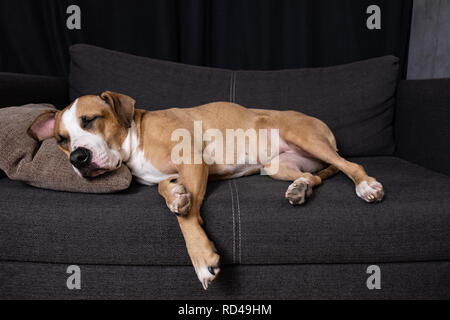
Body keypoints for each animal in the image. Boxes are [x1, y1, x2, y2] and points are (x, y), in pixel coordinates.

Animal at [28, 90, 384, 290]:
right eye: (61, 139)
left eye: (90, 120)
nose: (77, 157)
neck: (133, 137)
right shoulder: (172, 174)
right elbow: (165, 189)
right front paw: (176, 196)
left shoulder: (192, 161)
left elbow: (186, 221)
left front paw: (202, 258)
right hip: (278, 166)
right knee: (317, 176)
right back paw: (300, 187)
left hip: (304, 136)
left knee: (349, 165)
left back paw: (366, 185)